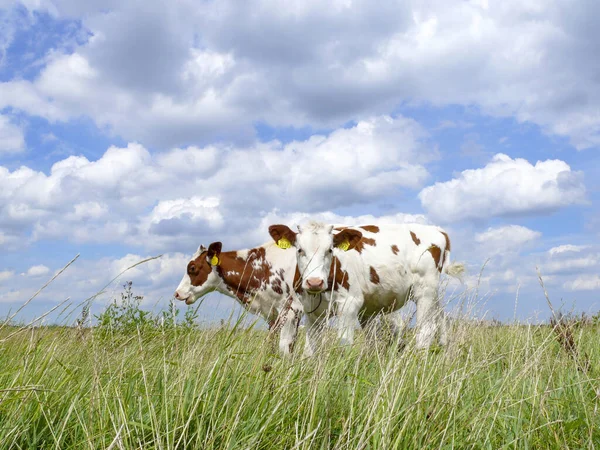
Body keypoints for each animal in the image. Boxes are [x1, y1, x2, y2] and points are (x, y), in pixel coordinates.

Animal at [175, 241, 304, 356]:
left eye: (192, 268)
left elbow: (285, 348)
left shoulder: (292, 309)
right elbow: (271, 344)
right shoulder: (272, 314)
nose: (176, 293)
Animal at [268, 221, 464, 356]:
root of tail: (437, 229)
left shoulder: (350, 304)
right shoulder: (311, 311)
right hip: (433, 295)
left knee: (426, 330)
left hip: (425, 291)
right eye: (300, 250)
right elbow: (310, 351)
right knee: (441, 321)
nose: (314, 282)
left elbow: (344, 344)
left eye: (330, 250)